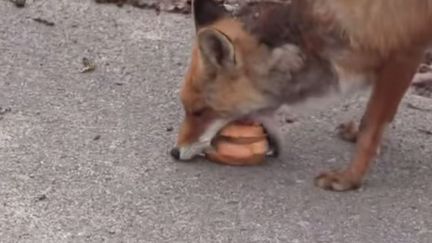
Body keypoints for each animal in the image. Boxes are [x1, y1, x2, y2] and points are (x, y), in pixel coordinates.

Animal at [170, 0, 432, 192]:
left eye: (199, 111)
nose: (175, 153)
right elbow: (377, 121)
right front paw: (358, 137)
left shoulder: (404, 54)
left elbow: (371, 126)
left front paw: (349, 179)